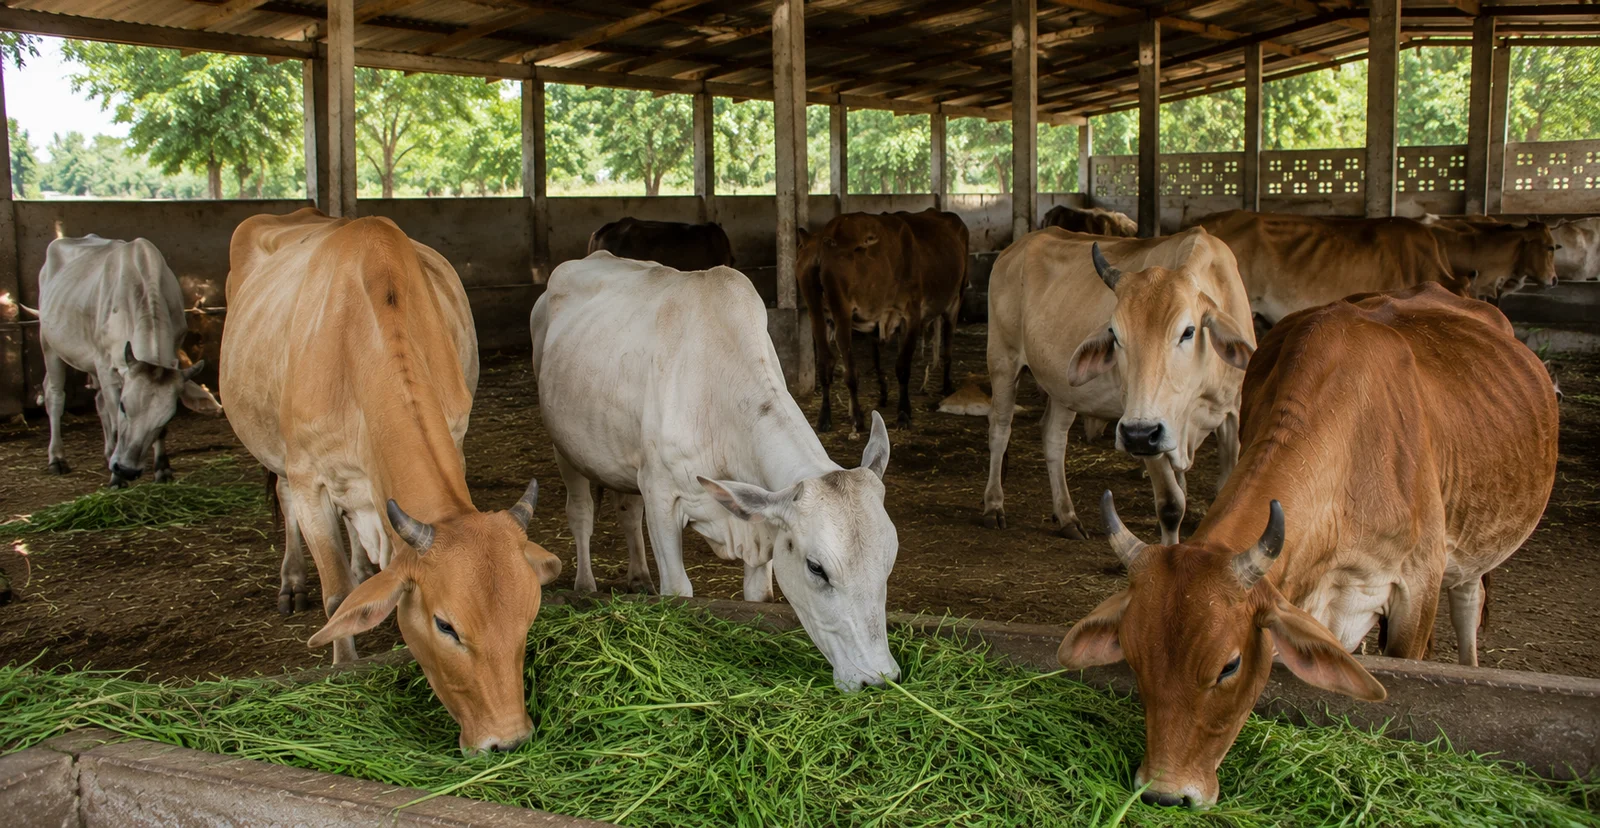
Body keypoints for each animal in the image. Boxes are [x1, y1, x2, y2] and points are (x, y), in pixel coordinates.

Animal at [30, 235, 222, 487]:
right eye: (123, 406)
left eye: (169, 416)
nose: (127, 470)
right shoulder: (105, 366)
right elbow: (113, 421)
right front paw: (116, 479)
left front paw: (162, 469)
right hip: (49, 343)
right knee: (54, 395)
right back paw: (57, 459)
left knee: (98, 400)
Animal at [221, 208, 562, 753]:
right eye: (446, 625)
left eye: (529, 617)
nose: (508, 741)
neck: (357, 342)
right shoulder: (309, 478)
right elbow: (336, 594)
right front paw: (344, 667)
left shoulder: (452, 437)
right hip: (274, 450)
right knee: (283, 498)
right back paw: (292, 582)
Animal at [531, 251, 901, 692]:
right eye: (817, 567)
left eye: (890, 557)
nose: (878, 678)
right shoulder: (660, 493)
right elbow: (678, 589)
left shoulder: (760, 522)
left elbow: (759, 598)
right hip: (564, 448)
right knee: (581, 514)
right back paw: (585, 585)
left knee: (627, 512)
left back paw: (638, 579)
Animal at [800, 209, 969, 433]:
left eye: (859, 247)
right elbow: (893, 364)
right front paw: (902, 411)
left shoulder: (908, 316)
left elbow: (897, 364)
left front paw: (898, 407)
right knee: (839, 367)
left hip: (955, 298)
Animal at [984, 227, 1254, 544]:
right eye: (1114, 333)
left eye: (1189, 331)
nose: (1139, 432)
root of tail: (1014, 248)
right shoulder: (1145, 432)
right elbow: (1171, 505)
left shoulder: (1231, 413)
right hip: (1003, 361)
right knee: (1000, 429)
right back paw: (993, 505)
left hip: (1063, 389)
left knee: (1053, 436)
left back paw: (1067, 517)